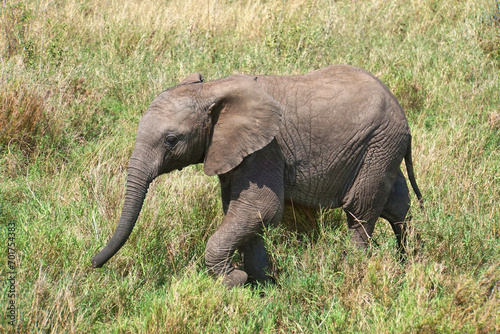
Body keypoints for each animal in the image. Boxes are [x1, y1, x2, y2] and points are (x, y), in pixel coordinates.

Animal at [91, 64, 422, 288]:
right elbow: (245, 214)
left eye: (171, 140)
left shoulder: (266, 149)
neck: (213, 89)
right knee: (397, 206)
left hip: (377, 144)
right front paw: (263, 284)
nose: (92, 262)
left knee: (360, 211)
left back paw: (351, 270)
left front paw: (234, 279)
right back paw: (407, 262)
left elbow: (259, 207)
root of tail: (401, 112)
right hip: (383, 148)